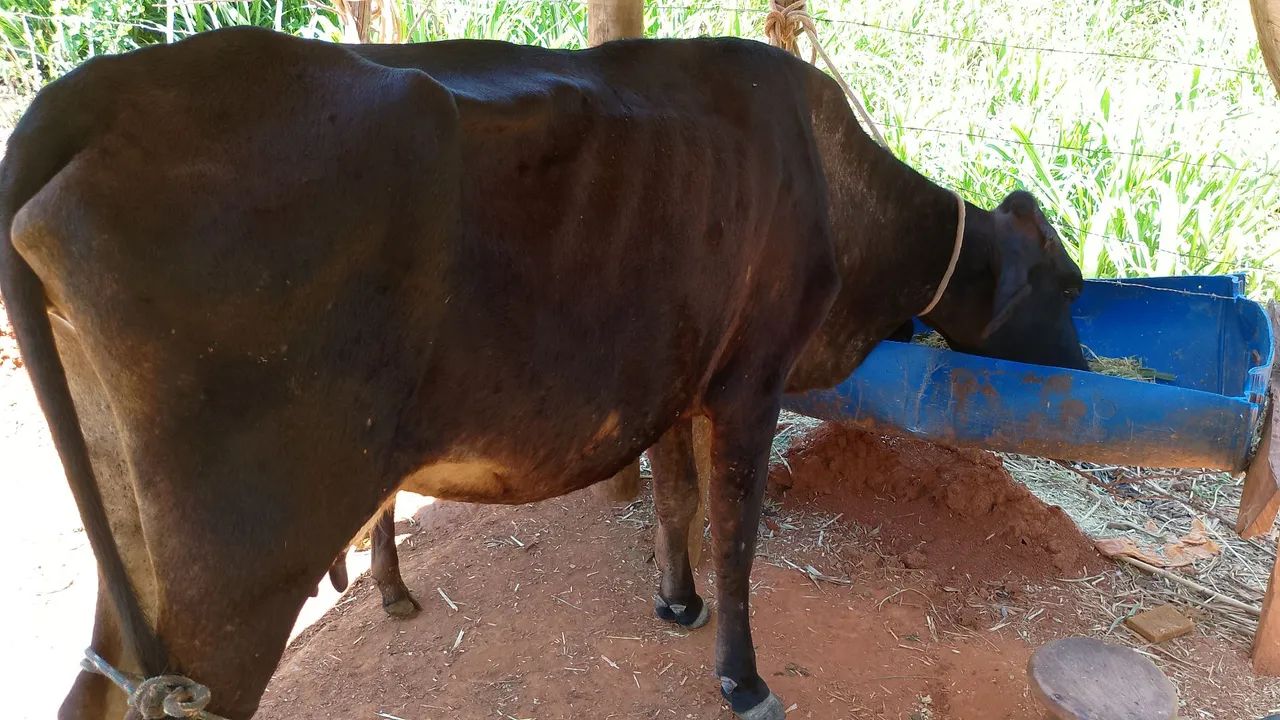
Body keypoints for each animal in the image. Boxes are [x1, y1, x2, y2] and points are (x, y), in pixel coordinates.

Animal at [1, 27, 1087, 720]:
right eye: (1070, 286)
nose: (1083, 359)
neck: (836, 190)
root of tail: (99, 91)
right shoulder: (749, 383)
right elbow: (736, 538)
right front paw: (742, 679)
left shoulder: (675, 383)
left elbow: (674, 505)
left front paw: (676, 604)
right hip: (240, 568)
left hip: (136, 545)